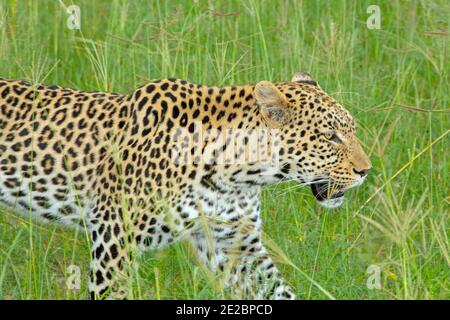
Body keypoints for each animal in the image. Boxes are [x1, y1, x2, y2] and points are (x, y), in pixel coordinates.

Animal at [0, 72, 370, 300]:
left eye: (350, 130)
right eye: (330, 136)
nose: (366, 170)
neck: (235, 171)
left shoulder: (237, 243)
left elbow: (278, 290)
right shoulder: (115, 237)